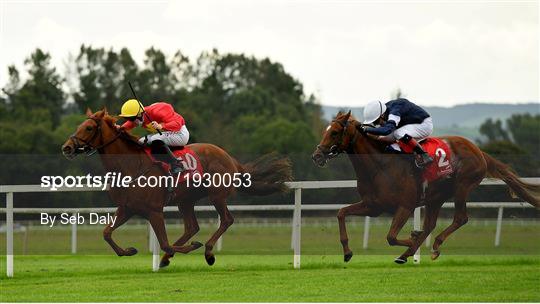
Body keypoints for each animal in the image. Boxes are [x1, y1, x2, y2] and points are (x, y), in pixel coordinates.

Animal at [61, 108, 292, 268]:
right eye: (80, 125)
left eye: (89, 127)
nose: (67, 147)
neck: (131, 166)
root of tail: (231, 159)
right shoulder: (127, 208)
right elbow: (106, 233)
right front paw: (129, 250)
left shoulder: (154, 211)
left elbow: (164, 242)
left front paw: (192, 247)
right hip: (185, 200)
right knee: (192, 227)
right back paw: (167, 258)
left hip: (216, 195)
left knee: (226, 220)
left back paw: (208, 251)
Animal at [312, 111, 540, 264]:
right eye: (325, 130)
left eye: (334, 132)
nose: (317, 155)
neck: (380, 166)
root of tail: (478, 150)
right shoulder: (373, 206)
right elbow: (342, 213)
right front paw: (347, 252)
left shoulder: (405, 206)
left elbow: (391, 237)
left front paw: (412, 239)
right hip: (435, 197)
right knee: (431, 224)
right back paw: (408, 254)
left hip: (462, 186)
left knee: (460, 218)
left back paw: (434, 246)